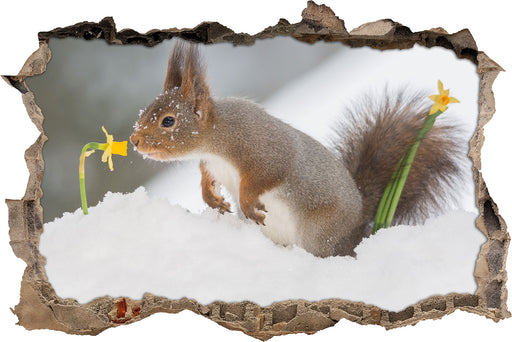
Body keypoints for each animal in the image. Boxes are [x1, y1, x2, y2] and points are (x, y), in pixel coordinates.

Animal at [130, 39, 462, 256]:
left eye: (168, 121)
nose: (134, 141)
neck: (216, 140)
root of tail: (359, 226)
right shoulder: (211, 164)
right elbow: (206, 177)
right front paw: (212, 198)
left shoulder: (264, 150)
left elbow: (268, 175)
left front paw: (247, 203)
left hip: (320, 232)